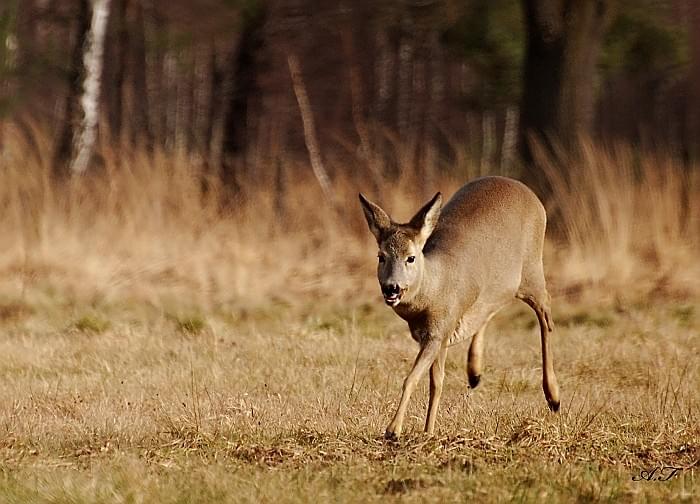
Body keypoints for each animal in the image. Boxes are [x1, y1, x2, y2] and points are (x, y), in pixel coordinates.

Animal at [358, 175, 560, 440]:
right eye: (381, 256)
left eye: (411, 257)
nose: (391, 287)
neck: (433, 292)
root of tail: (526, 190)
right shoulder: (438, 334)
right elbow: (437, 382)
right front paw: (428, 431)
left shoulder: (437, 332)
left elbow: (412, 378)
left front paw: (393, 430)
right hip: (499, 285)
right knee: (490, 310)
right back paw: (474, 373)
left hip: (532, 269)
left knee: (546, 313)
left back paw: (553, 397)